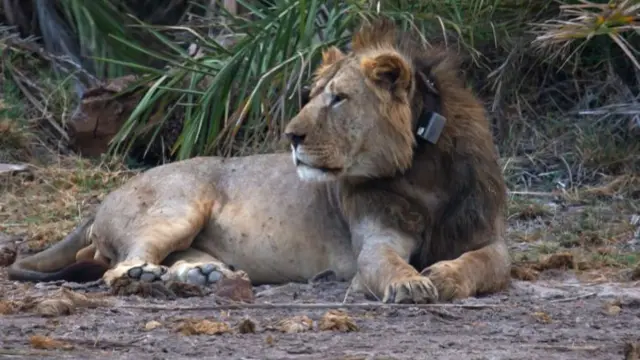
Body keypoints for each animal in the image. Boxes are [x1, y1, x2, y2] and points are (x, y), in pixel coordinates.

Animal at [7, 18, 510, 302]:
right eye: (312, 96)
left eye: (339, 99)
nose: (291, 135)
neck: (424, 173)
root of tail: (103, 200)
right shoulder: (373, 242)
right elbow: (388, 263)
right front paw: (411, 282)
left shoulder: (491, 238)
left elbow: (484, 264)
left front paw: (446, 276)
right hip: (177, 206)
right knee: (115, 267)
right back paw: (149, 277)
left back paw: (203, 275)